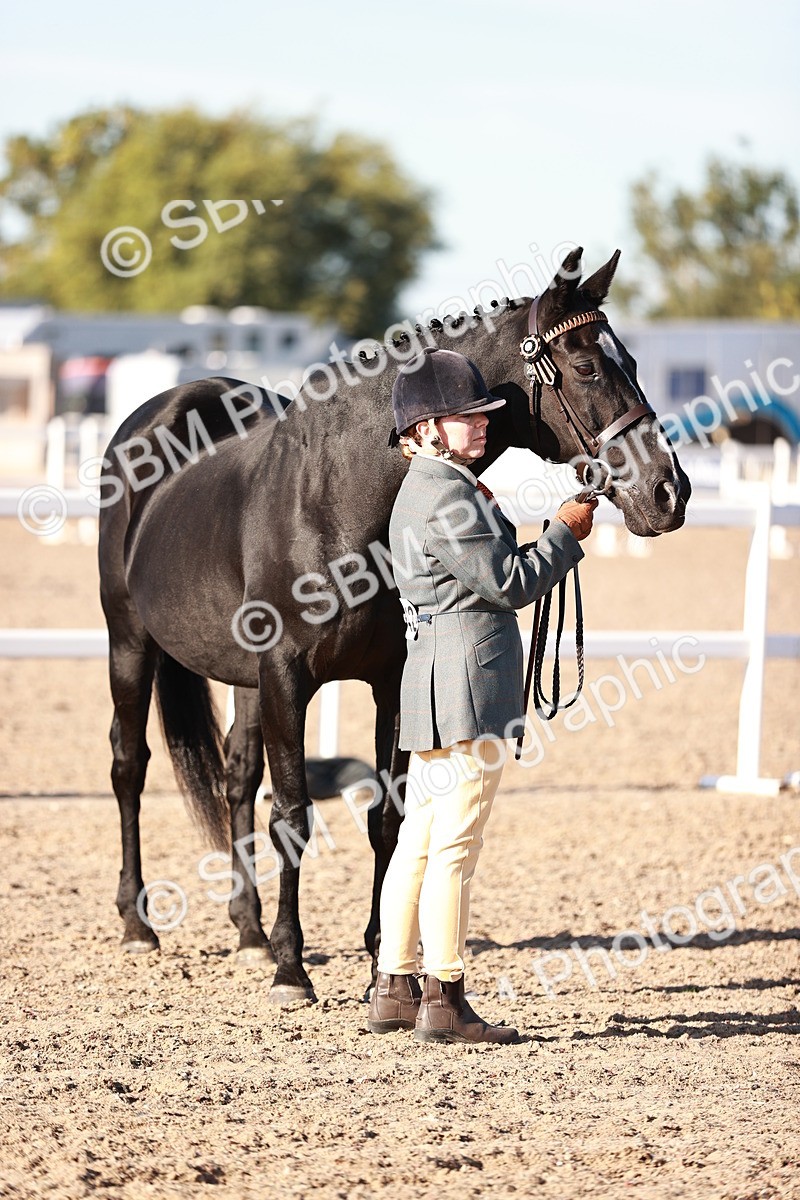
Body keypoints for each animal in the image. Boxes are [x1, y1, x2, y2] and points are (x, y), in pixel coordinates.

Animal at [98, 247, 691, 1001]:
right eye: (587, 367)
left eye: (634, 363)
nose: (669, 491)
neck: (335, 500)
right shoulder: (287, 678)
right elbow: (292, 815)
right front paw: (292, 969)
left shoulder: (392, 680)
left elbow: (386, 817)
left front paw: (380, 957)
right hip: (130, 643)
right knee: (129, 765)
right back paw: (139, 924)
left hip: (244, 678)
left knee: (235, 776)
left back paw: (249, 933)